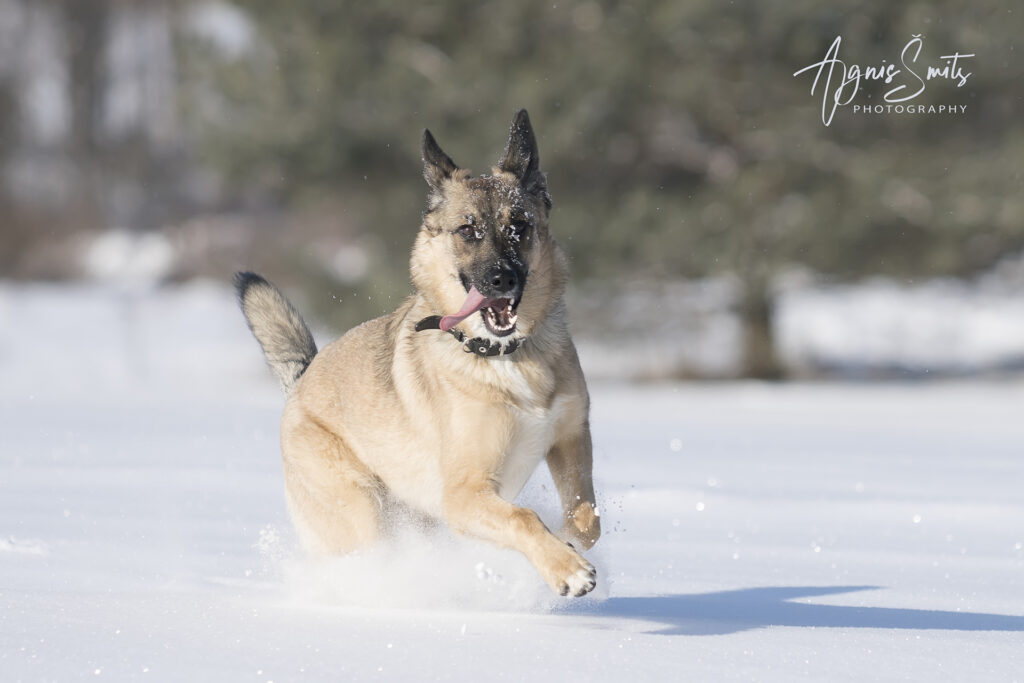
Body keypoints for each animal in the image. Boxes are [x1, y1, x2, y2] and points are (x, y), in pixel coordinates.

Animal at [234, 109, 598, 593]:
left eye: (519, 226)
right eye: (468, 230)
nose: (502, 278)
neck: (504, 355)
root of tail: (302, 380)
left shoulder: (571, 438)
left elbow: (586, 516)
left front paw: (568, 543)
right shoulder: (463, 496)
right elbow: (523, 518)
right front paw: (566, 568)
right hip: (362, 509)